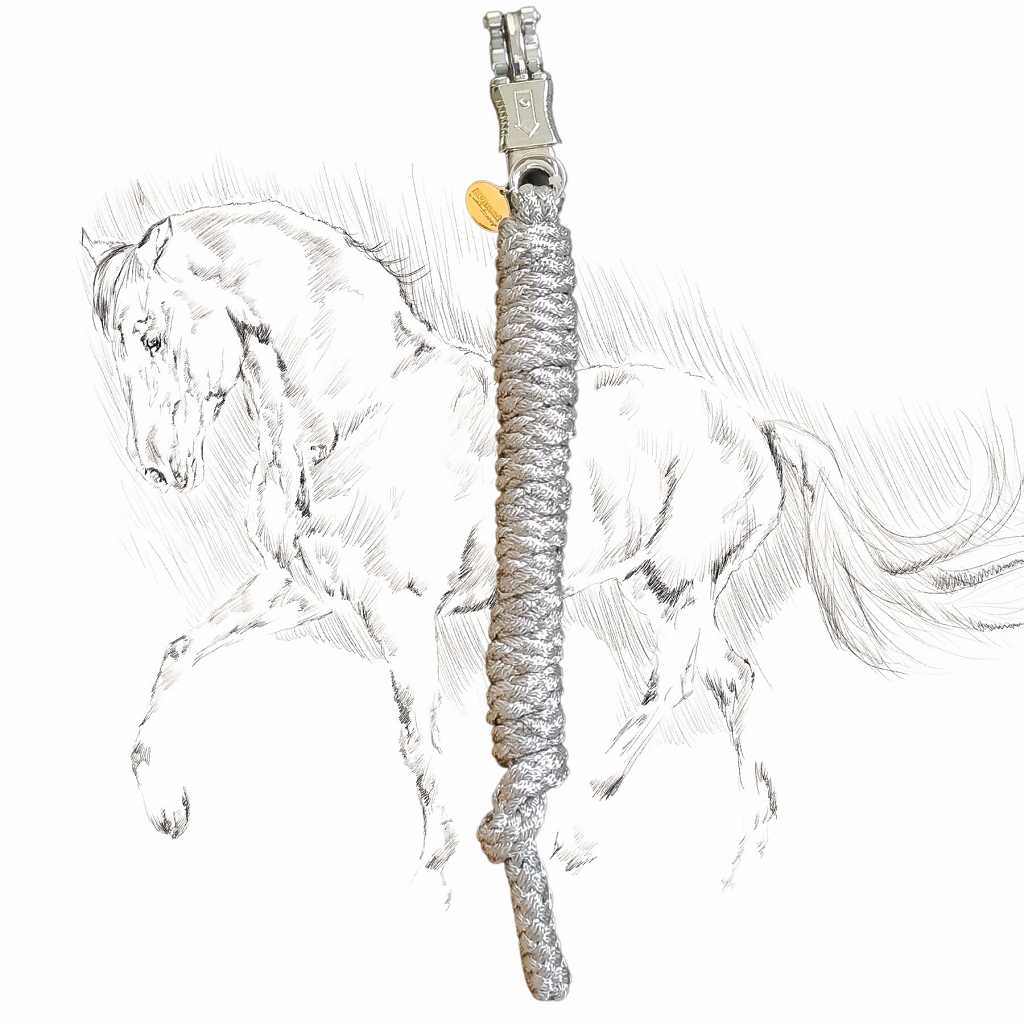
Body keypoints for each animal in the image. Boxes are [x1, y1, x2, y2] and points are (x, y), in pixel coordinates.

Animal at [81, 199, 1024, 884]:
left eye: (152, 335)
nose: (161, 468)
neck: (354, 411)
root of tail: (757, 426)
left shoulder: (401, 615)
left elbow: (418, 744)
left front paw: (436, 871)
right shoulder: (305, 591)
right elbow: (180, 651)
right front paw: (166, 806)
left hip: (680, 584)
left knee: (675, 683)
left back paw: (576, 832)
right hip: (662, 588)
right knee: (732, 679)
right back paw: (743, 861)